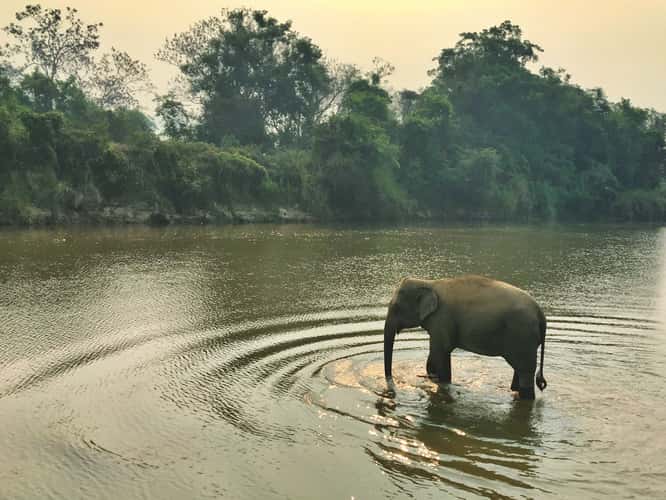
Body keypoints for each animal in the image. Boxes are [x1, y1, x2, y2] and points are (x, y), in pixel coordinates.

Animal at [383, 275, 547, 400]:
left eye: (396, 307)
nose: (392, 384)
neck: (429, 283)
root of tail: (540, 313)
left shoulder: (441, 319)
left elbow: (440, 352)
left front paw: (440, 380)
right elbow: (438, 354)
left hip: (522, 335)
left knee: (525, 371)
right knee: (519, 369)